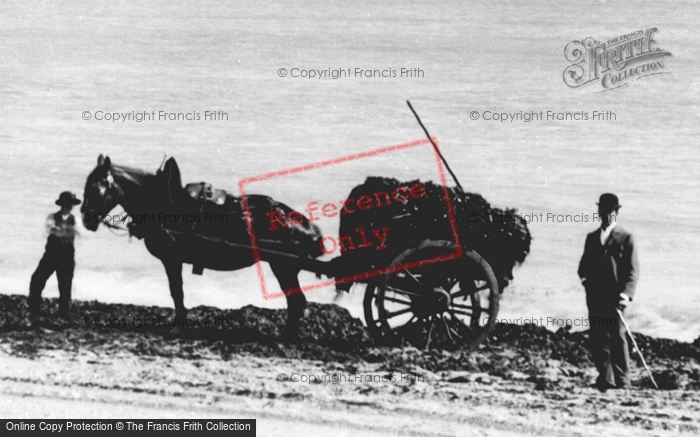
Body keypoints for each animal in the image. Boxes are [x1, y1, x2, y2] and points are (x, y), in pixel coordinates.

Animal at [82, 155, 326, 338]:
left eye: (94, 188)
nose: (86, 219)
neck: (163, 204)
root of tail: (303, 223)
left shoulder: (172, 259)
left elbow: (177, 292)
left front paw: (179, 327)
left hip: (283, 266)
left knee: (296, 301)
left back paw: (287, 336)